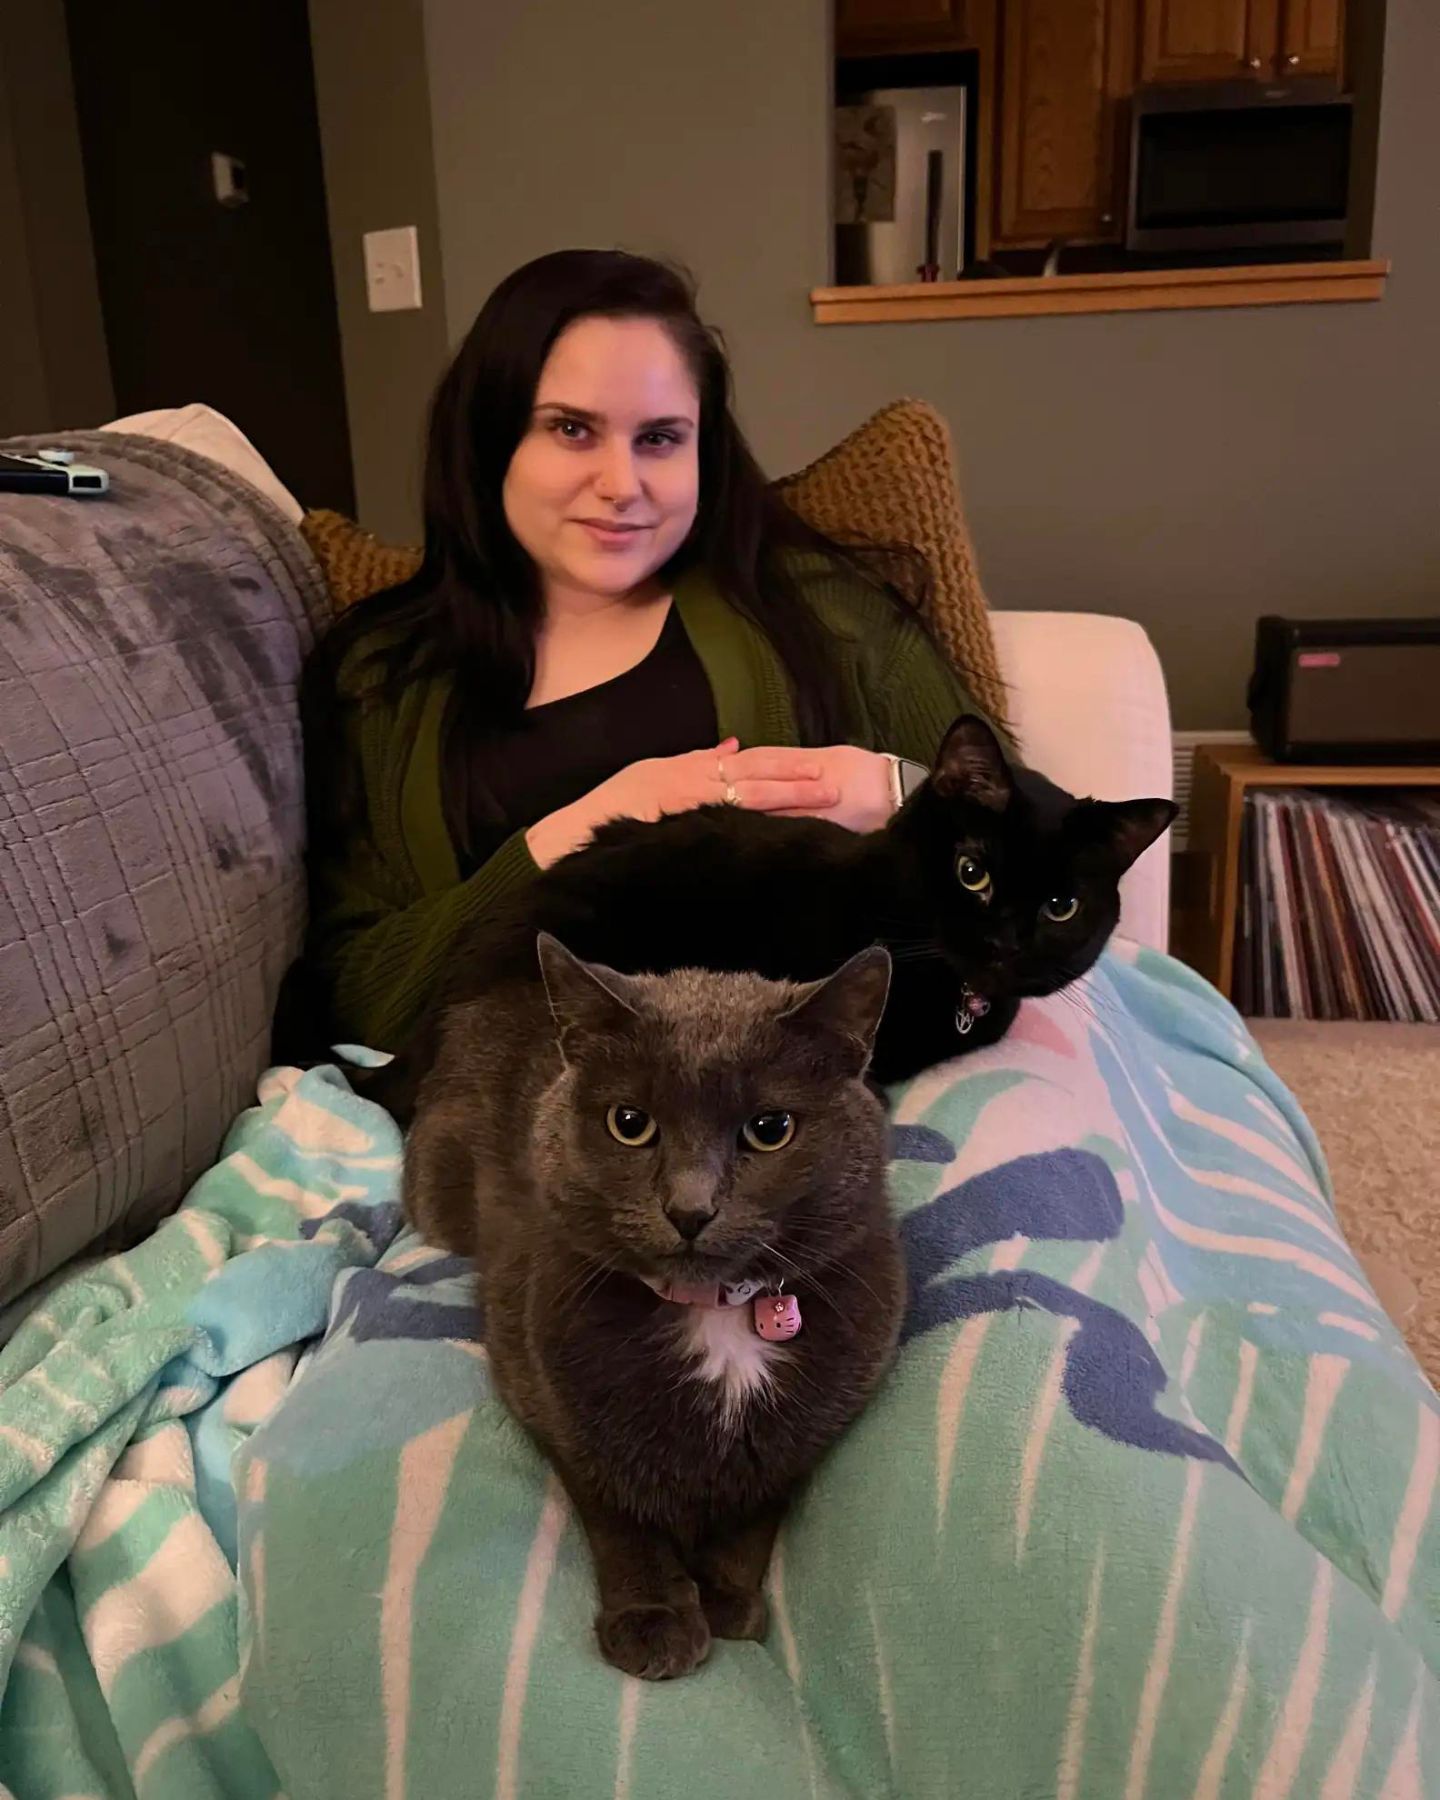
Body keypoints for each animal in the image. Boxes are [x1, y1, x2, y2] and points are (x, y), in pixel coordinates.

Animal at [405, 936, 900, 1677]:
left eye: (771, 1128)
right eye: (630, 1124)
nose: (690, 1209)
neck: (716, 1314)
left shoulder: (802, 1438)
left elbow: (755, 1512)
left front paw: (727, 1598)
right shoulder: (558, 1400)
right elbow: (622, 1514)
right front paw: (654, 1621)